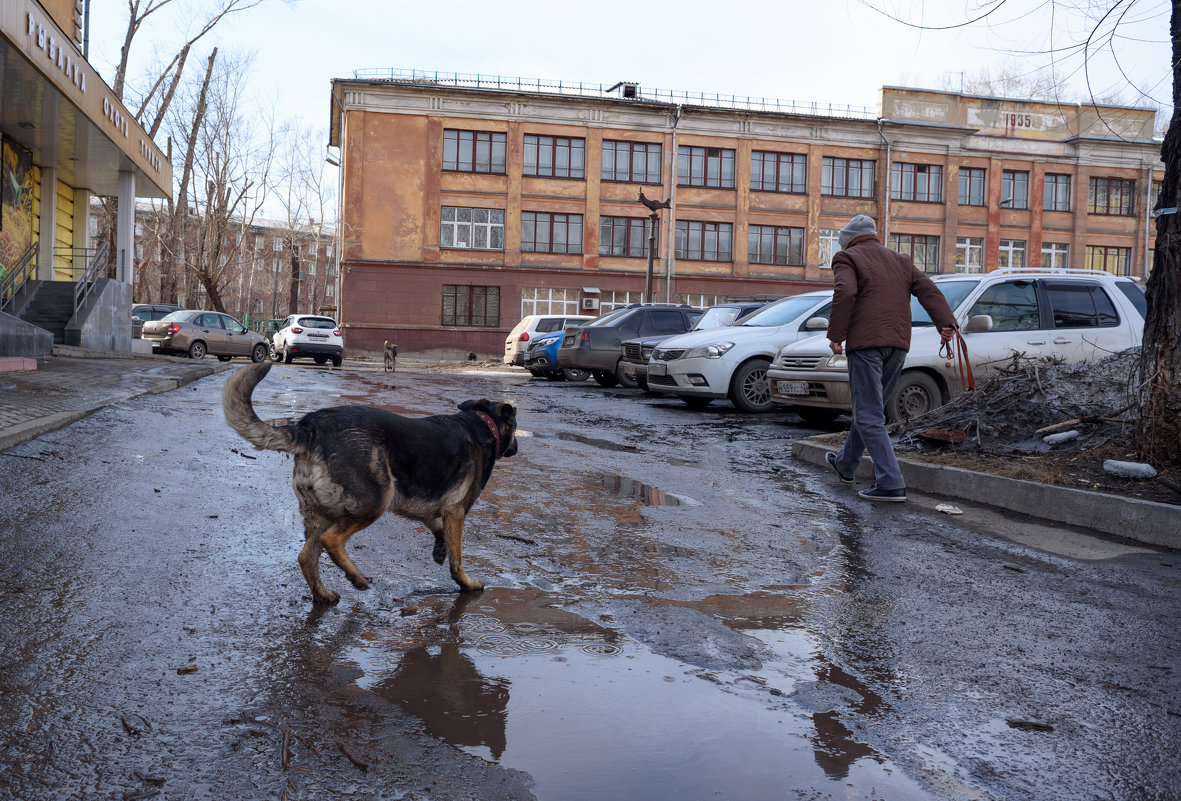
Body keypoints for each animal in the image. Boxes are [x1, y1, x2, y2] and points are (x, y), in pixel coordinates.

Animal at [222, 361, 517, 602]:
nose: (515, 448)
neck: (483, 423)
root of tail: (310, 427)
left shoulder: (431, 508)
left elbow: (438, 529)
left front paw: (439, 550)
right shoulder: (456, 512)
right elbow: (458, 557)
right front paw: (466, 583)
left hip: (320, 514)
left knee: (306, 556)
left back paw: (323, 594)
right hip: (374, 502)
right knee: (331, 540)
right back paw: (357, 578)